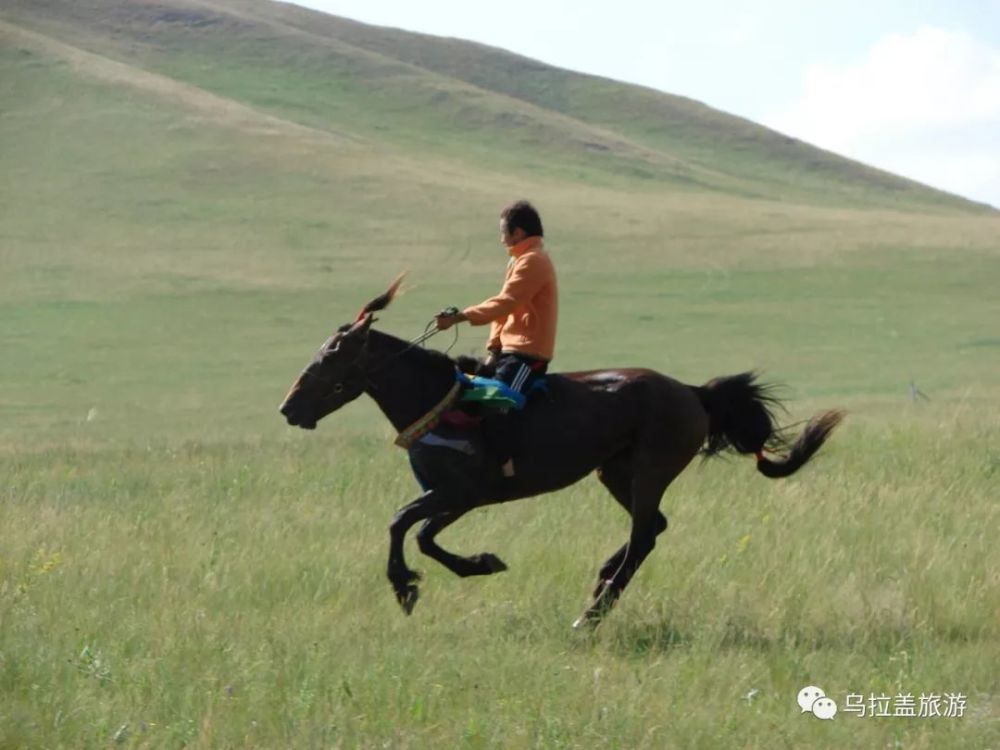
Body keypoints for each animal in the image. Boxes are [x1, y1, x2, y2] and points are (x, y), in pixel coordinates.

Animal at [280, 280, 844, 624]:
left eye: (333, 356)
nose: (289, 408)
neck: (441, 402)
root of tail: (692, 392)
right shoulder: (457, 498)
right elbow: (421, 535)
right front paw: (479, 564)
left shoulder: (461, 491)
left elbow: (402, 524)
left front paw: (406, 587)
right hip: (614, 473)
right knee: (650, 530)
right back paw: (600, 582)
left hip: (649, 470)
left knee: (644, 535)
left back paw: (593, 611)